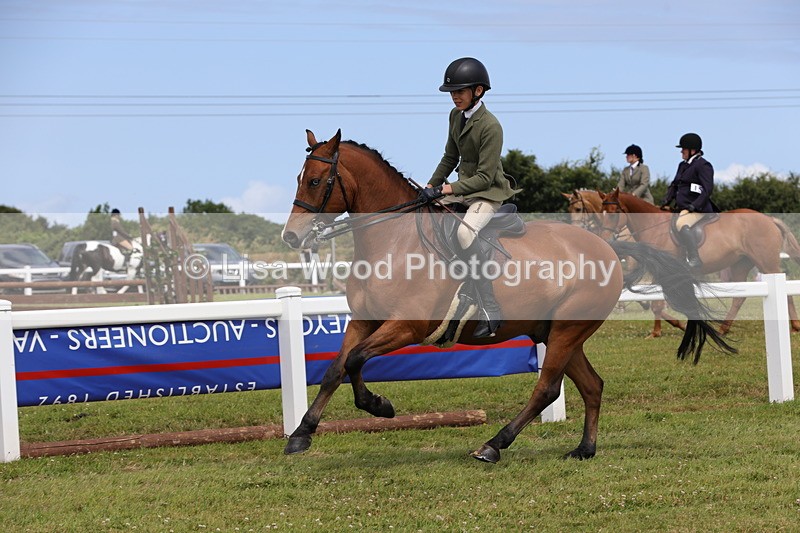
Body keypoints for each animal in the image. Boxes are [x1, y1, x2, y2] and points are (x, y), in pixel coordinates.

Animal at [599, 188, 800, 334]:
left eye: (614, 212)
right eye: (601, 213)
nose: (605, 240)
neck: (653, 227)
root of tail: (769, 219)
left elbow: (658, 304)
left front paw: (676, 326)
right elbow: (658, 304)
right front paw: (665, 329)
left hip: (766, 262)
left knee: (785, 289)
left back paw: (795, 326)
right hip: (741, 264)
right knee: (740, 297)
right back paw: (723, 328)